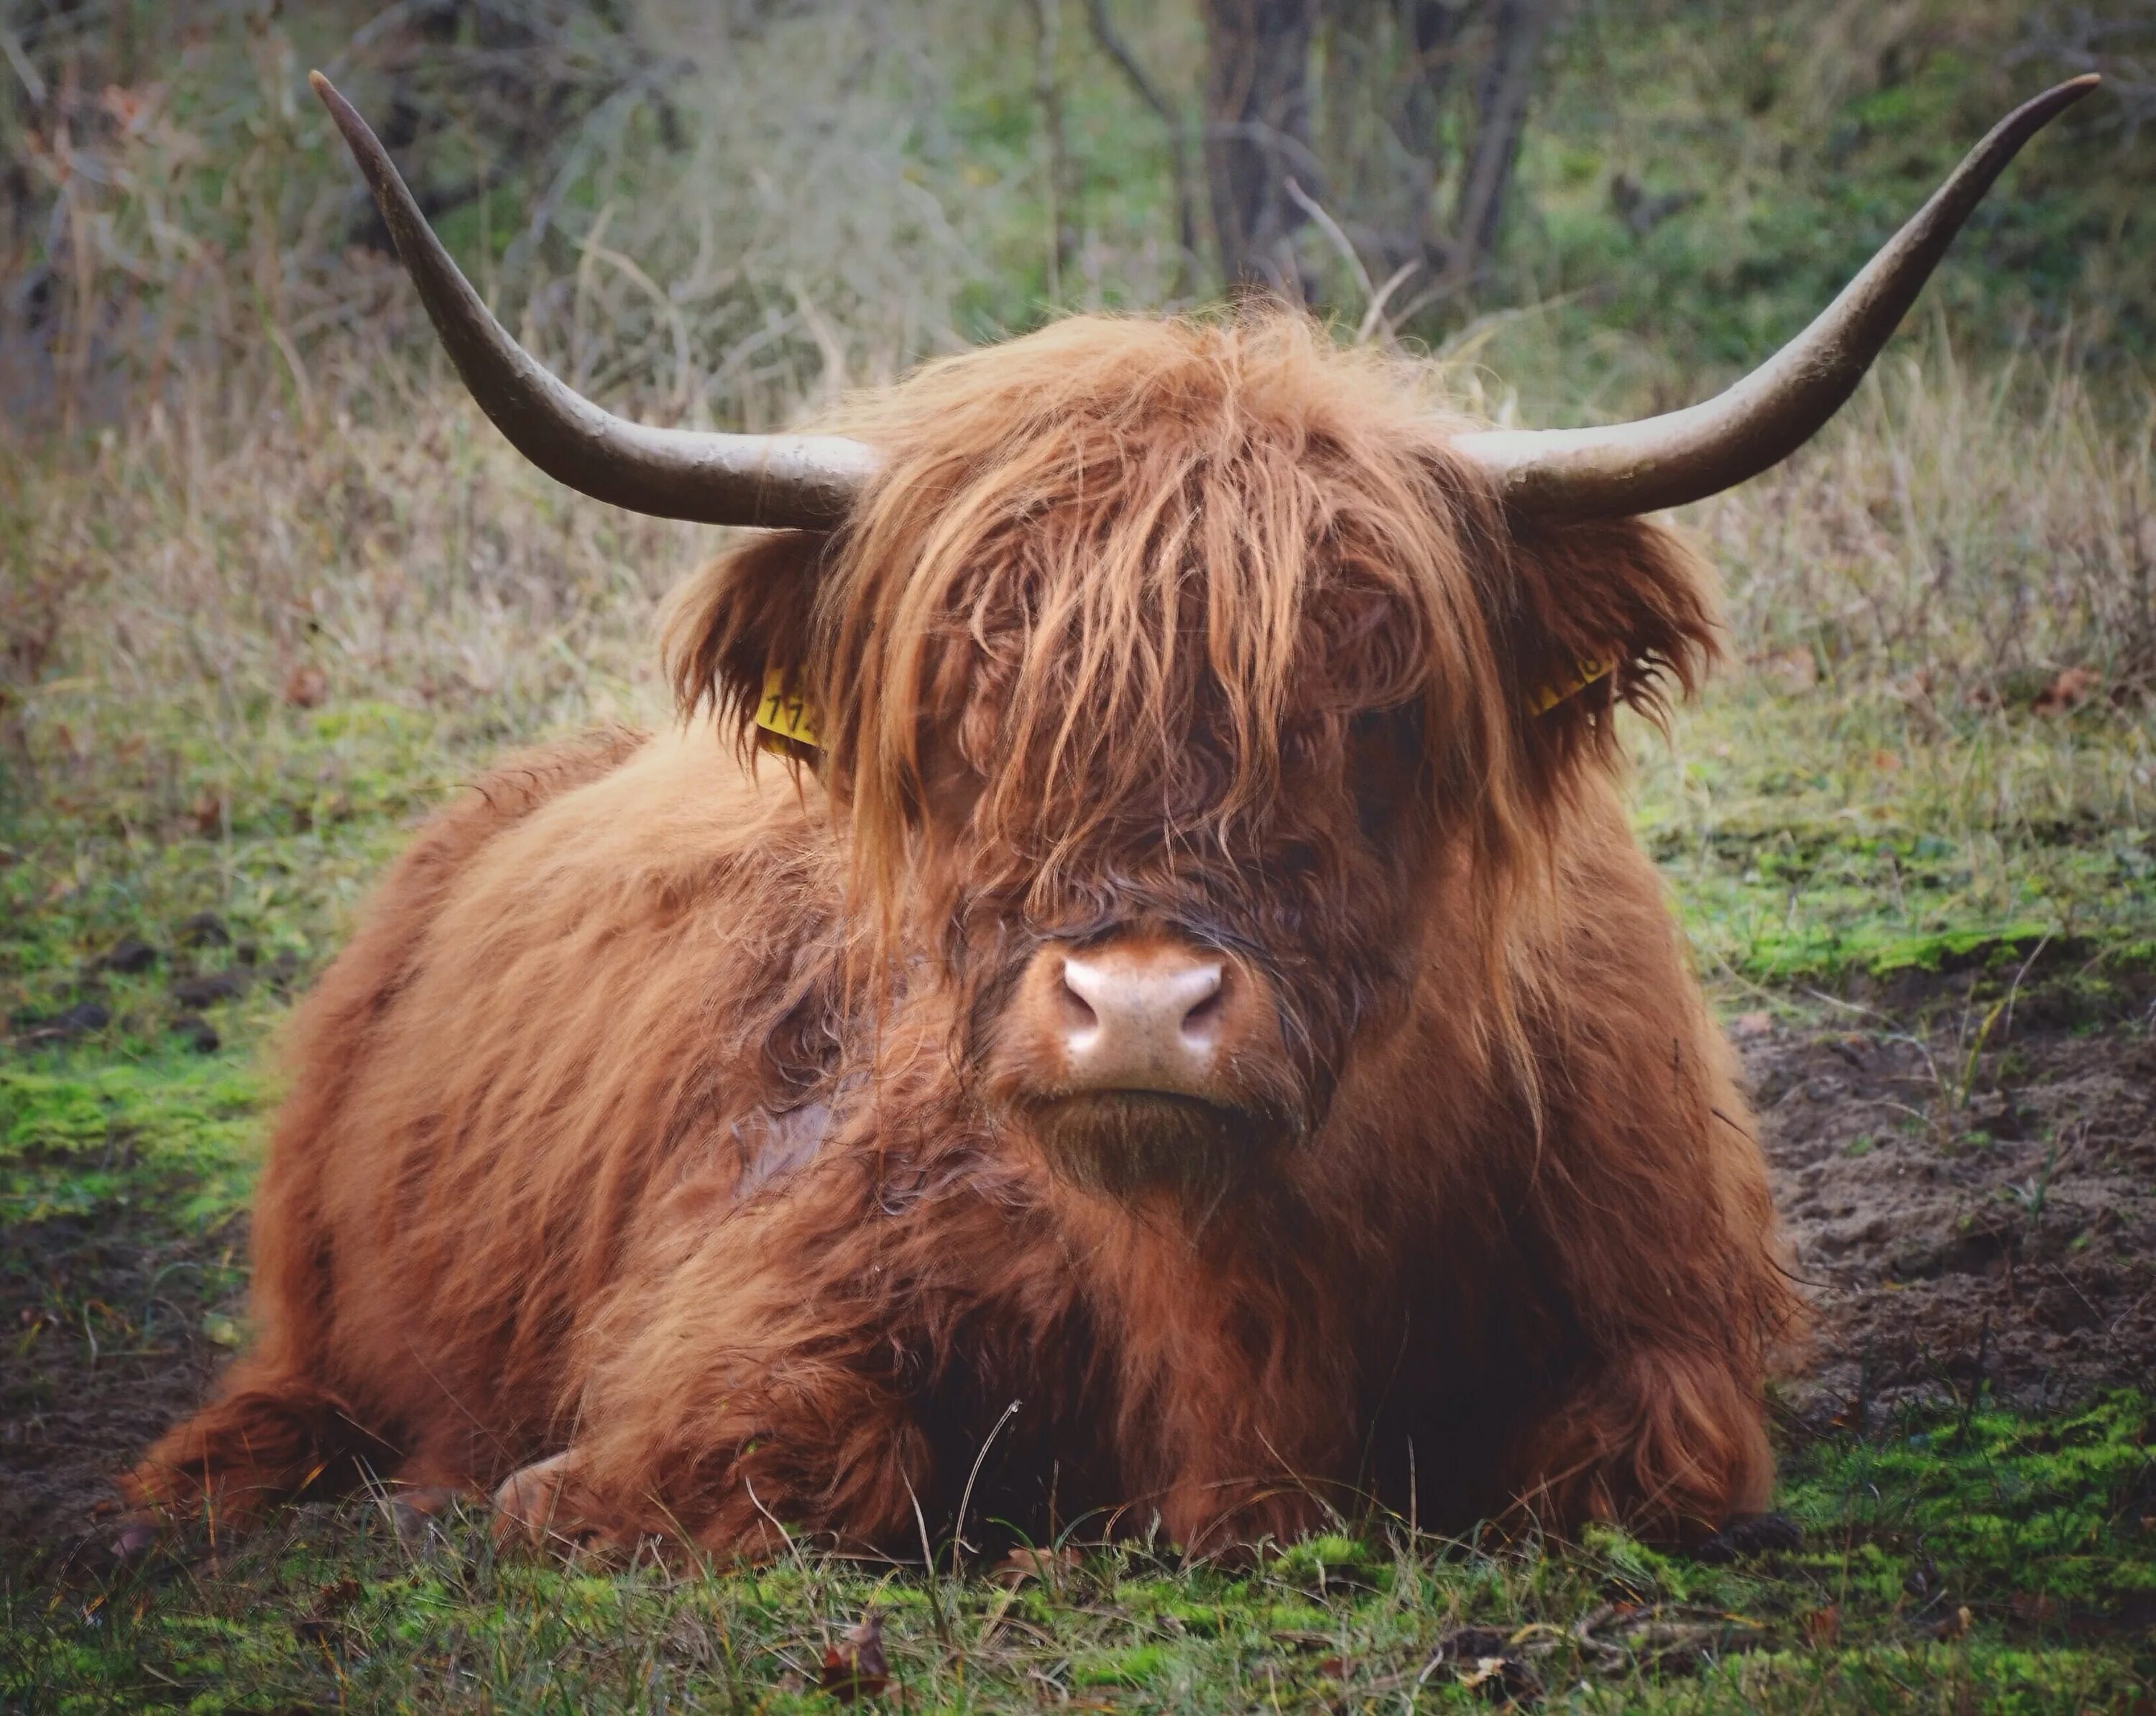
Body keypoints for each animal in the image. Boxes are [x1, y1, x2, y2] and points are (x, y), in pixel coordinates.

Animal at [126, 77, 2096, 1552]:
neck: (1240, 1307)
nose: (1139, 1008)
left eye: (1375, 709)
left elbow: (1639, 1463)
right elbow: (791, 1462)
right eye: (965, 712)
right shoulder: (745, 1308)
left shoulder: (1664, 1336)